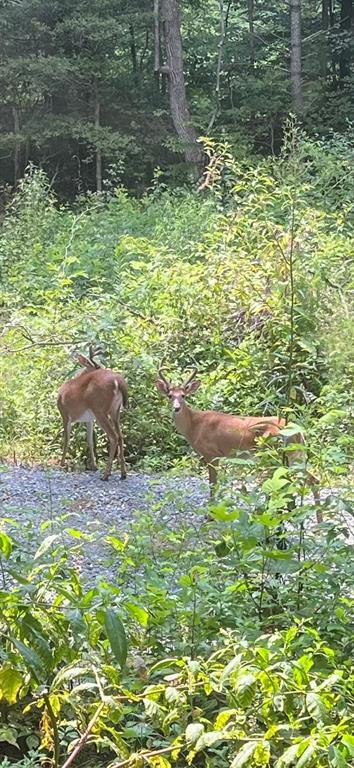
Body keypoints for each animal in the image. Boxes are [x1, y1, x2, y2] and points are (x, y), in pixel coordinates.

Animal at [58, 344, 129, 480]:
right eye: (97, 367)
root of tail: (118, 381)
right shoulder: (89, 419)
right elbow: (90, 441)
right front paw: (94, 466)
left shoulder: (65, 413)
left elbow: (66, 439)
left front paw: (62, 464)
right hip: (115, 411)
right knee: (121, 436)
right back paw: (123, 474)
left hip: (100, 410)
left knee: (114, 436)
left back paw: (106, 475)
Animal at [154, 364, 320, 520]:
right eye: (170, 395)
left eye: (183, 395)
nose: (176, 408)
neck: (194, 426)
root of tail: (298, 430)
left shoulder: (211, 454)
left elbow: (213, 484)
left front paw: (210, 515)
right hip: (293, 453)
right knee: (312, 479)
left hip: (273, 452)